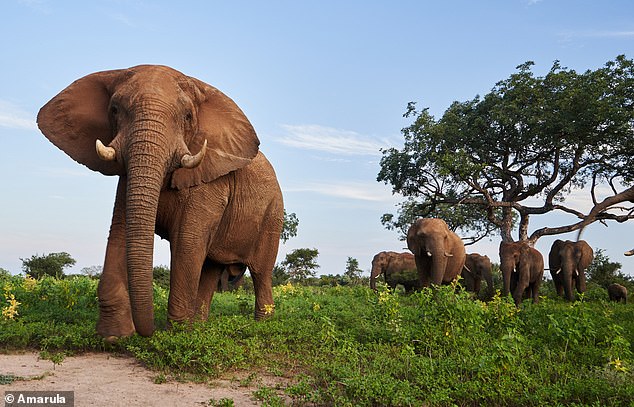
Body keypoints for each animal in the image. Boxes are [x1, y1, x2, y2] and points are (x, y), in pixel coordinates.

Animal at [35, 66, 280, 342]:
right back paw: (201, 328)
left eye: (187, 117)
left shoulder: (210, 181)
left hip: (273, 213)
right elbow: (120, 231)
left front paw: (176, 336)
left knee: (261, 273)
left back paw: (262, 328)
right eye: (115, 110)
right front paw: (114, 337)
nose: (148, 332)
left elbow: (187, 241)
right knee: (210, 270)